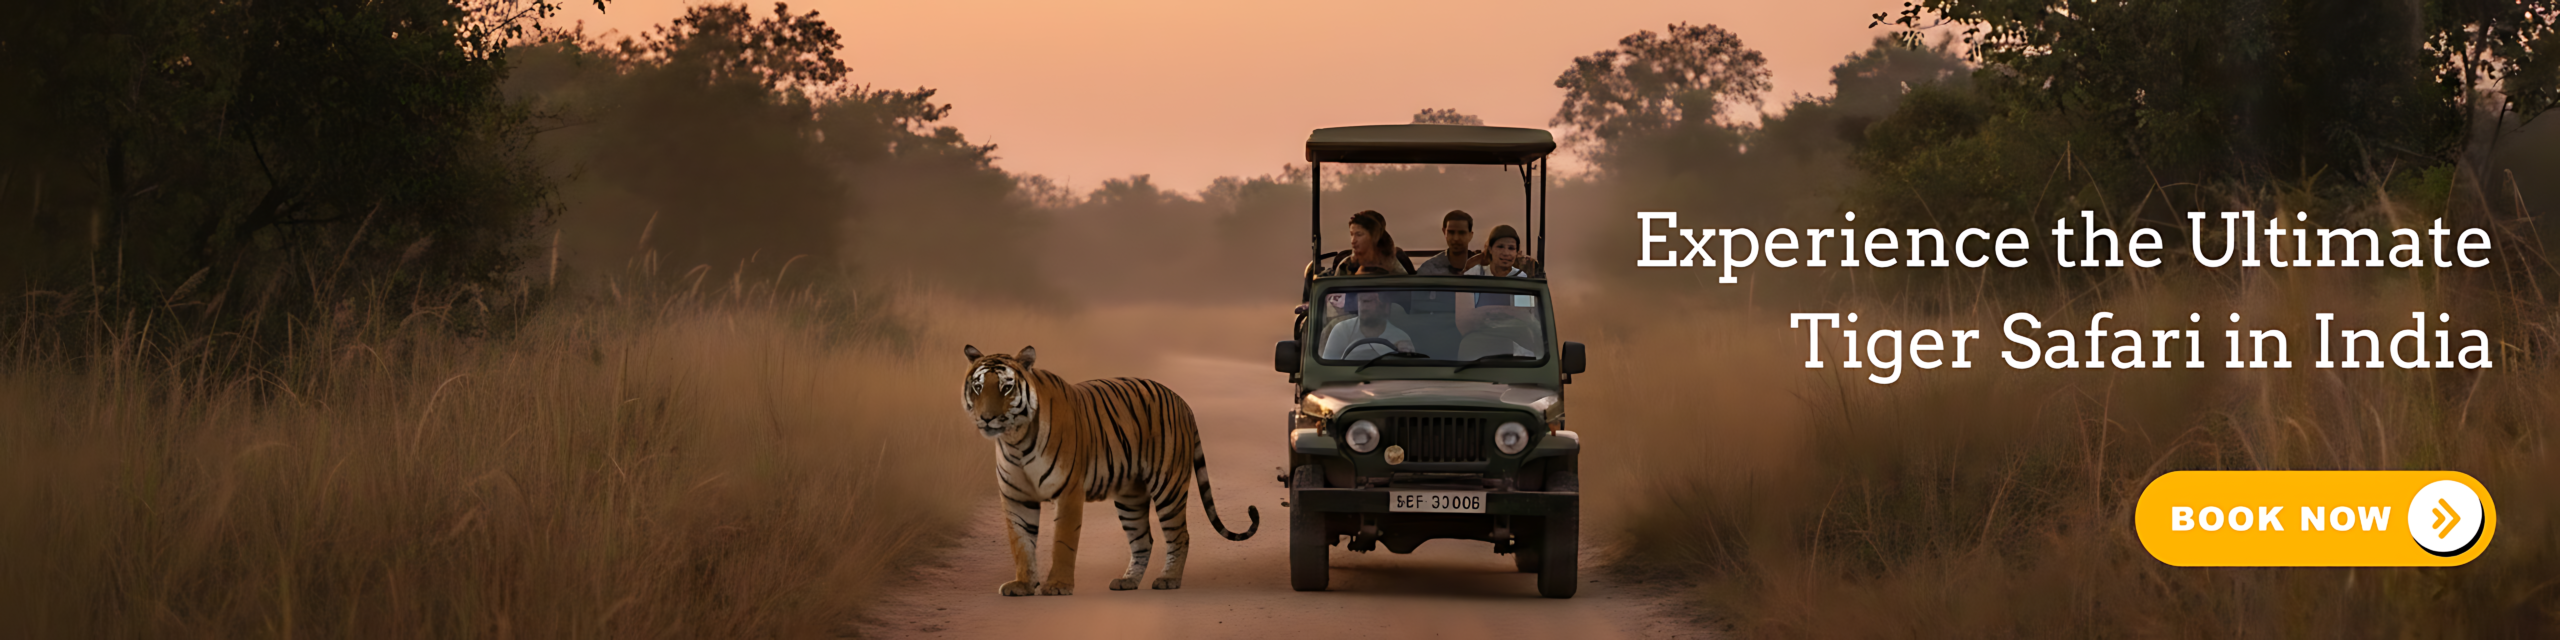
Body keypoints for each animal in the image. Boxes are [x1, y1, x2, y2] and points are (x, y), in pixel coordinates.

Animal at [960, 344, 1259, 596]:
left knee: (1179, 535)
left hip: (1169, 486)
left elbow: (1063, 542)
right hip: (1130, 497)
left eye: (1006, 387)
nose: (986, 418)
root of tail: (1182, 401)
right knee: (1143, 540)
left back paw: (1169, 579)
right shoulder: (1016, 498)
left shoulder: (1068, 493)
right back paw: (1128, 581)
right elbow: (1020, 543)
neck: (1015, 439)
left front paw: (1057, 585)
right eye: (978, 387)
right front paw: (1022, 585)